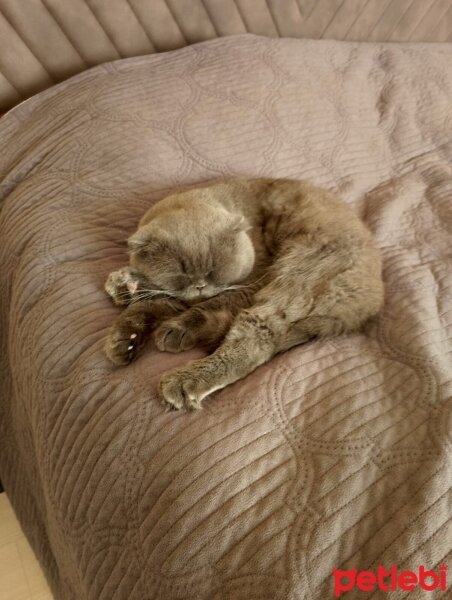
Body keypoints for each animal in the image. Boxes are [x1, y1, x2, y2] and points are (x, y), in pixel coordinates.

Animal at [104, 178, 384, 410]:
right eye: (183, 273)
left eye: (213, 270)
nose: (200, 286)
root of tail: (370, 302)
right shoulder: (179, 294)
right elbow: (149, 304)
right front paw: (126, 335)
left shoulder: (250, 283)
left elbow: (204, 307)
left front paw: (174, 328)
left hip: (293, 280)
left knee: (256, 342)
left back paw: (183, 381)